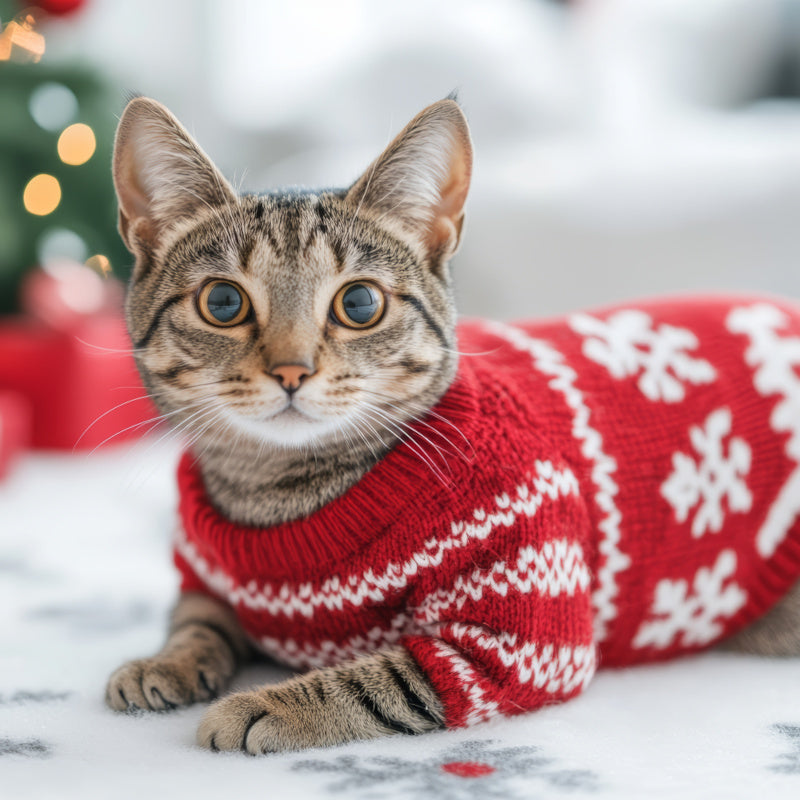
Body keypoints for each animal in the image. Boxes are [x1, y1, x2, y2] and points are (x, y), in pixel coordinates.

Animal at [104, 97, 800, 752]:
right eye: (223, 302)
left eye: (360, 303)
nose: (292, 370)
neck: (276, 495)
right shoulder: (204, 581)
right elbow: (197, 620)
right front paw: (164, 662)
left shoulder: (522, 644)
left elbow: (376, 681)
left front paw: (265, 705)